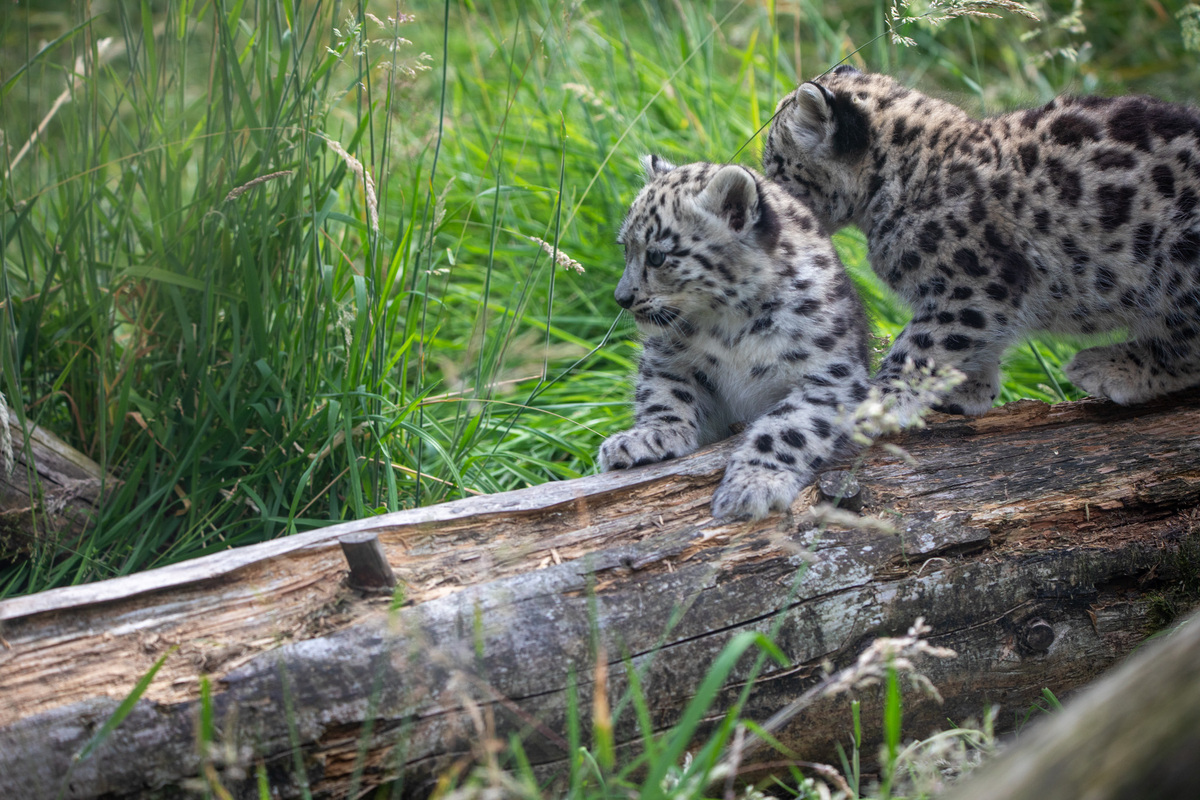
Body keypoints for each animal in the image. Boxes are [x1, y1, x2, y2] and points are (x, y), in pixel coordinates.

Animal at [598, 156, 871, 521]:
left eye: (657, 255)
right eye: (625, 247)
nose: (621, 297)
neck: (731, 324)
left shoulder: (831, 378)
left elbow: (786, 429)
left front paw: (751, 486)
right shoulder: (666, 357)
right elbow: (664, 394)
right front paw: (647, 437)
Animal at [764, 66, 1200, 418]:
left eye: (776, 164)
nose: (768, 194)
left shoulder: (976, 286)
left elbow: (919, 345)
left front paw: (878, 399)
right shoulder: (977, 300)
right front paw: (967, 388)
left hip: (1177, 258)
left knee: (1185, 340)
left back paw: (1110, 367)